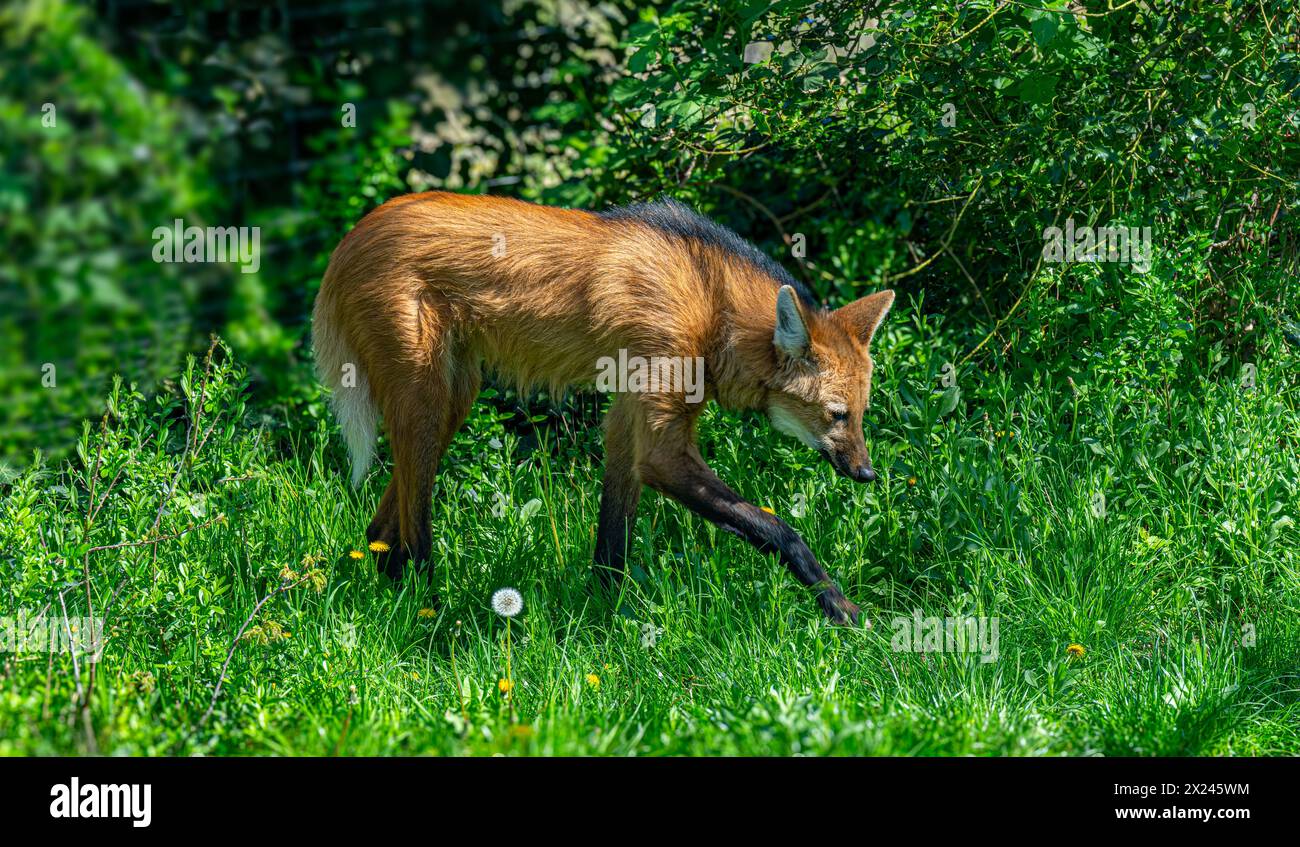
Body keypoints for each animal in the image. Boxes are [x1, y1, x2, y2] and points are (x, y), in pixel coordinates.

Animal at [312, 194, 894, 626]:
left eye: (861, 412)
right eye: (837, 415)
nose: (866, 473)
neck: (712, 305)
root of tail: (350, 237)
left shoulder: (628, 411)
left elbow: (614, 530)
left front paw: (608, 613)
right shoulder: (660, 435)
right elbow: (777, 528)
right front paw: (840, 606)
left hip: (455, 396)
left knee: (379, 528)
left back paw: (397, 589)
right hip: (426, 393)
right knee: (414, 525)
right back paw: (432, 611)